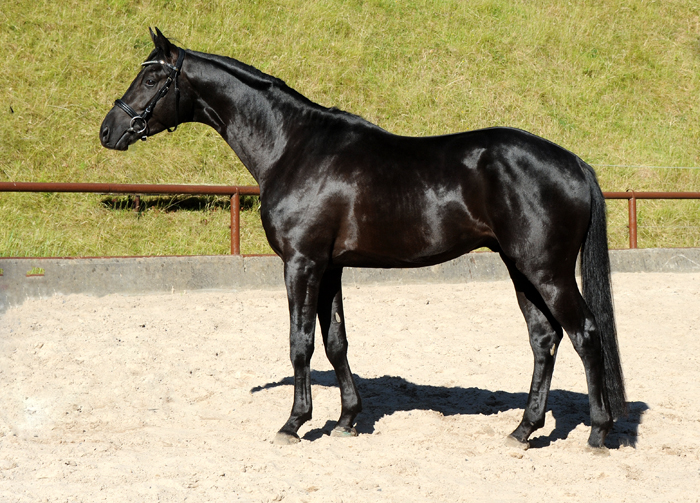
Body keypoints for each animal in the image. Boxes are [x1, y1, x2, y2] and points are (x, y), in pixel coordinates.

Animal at [101, 28, 628, 448]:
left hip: (547, 271)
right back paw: (523, 429)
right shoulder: (330, 266)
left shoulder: (301, 263)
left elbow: (300, 343)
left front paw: (294, 423)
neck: (294, 146)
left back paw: (598, 431)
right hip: (520, 268)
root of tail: (574, 162)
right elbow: (336, 342)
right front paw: (346, 420)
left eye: (152, 79)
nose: (109, 130)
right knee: (544, 339)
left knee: (584, 334)